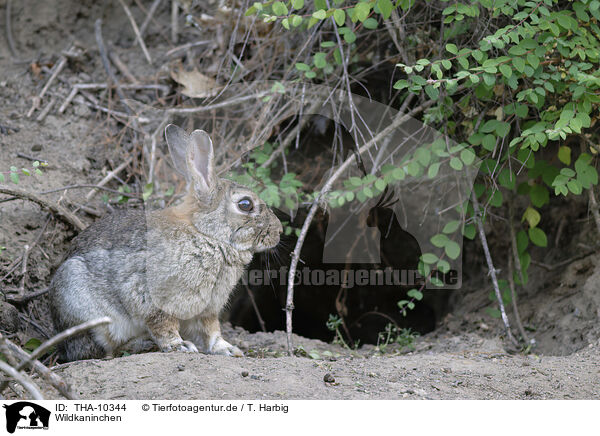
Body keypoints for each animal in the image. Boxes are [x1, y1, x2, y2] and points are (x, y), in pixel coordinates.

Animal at [48, 125, 282, 362]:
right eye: (245, 204)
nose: (279, 231)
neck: (207, 235)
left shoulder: (207, 310)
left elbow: (211, 331)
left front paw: (227, 349)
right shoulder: (154, 298)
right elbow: (163, 325)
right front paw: (179, 346)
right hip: (85, 305)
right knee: (105, 350)